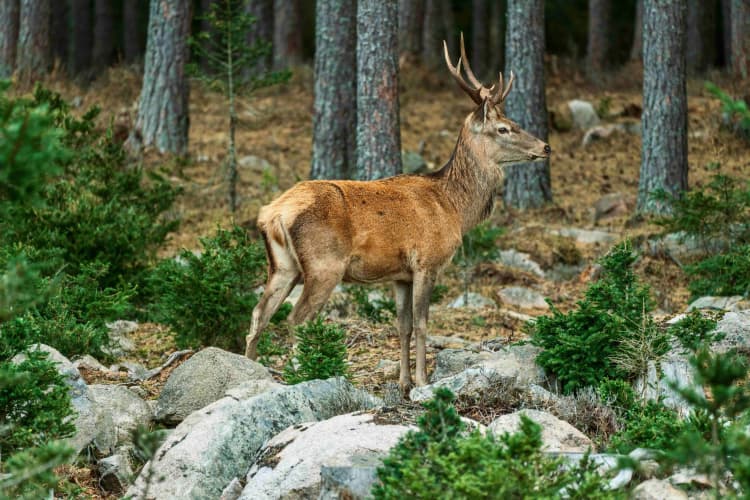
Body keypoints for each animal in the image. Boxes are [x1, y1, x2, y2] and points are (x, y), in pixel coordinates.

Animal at [247, 34, 552, 394]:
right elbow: (422, 323)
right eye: (504, 128)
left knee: (259, 313)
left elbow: (402, 325)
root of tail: (273, 213)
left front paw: (404, 382)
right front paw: (422, 380)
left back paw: (250, 370)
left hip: (283, 265)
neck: (454, 207)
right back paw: (302, 373)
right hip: (324, 265)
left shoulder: (400, 274)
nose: (545, 146)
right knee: (297, 319)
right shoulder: (427, 262)